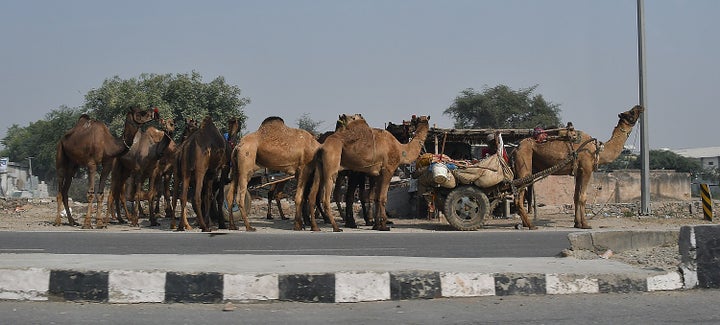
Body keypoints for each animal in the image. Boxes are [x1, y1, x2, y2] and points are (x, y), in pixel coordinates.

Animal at [516, 105, 644, 229]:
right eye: (631, 112)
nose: (640, 106)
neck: (597, 151)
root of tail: (516, 147)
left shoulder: (578, 172)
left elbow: (576, 197)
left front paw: (577, 223)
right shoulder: (587, 169)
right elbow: (583, 197)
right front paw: (585, 224)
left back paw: (524, 224)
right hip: (524, 162)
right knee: (518, 197)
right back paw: (531, 225)